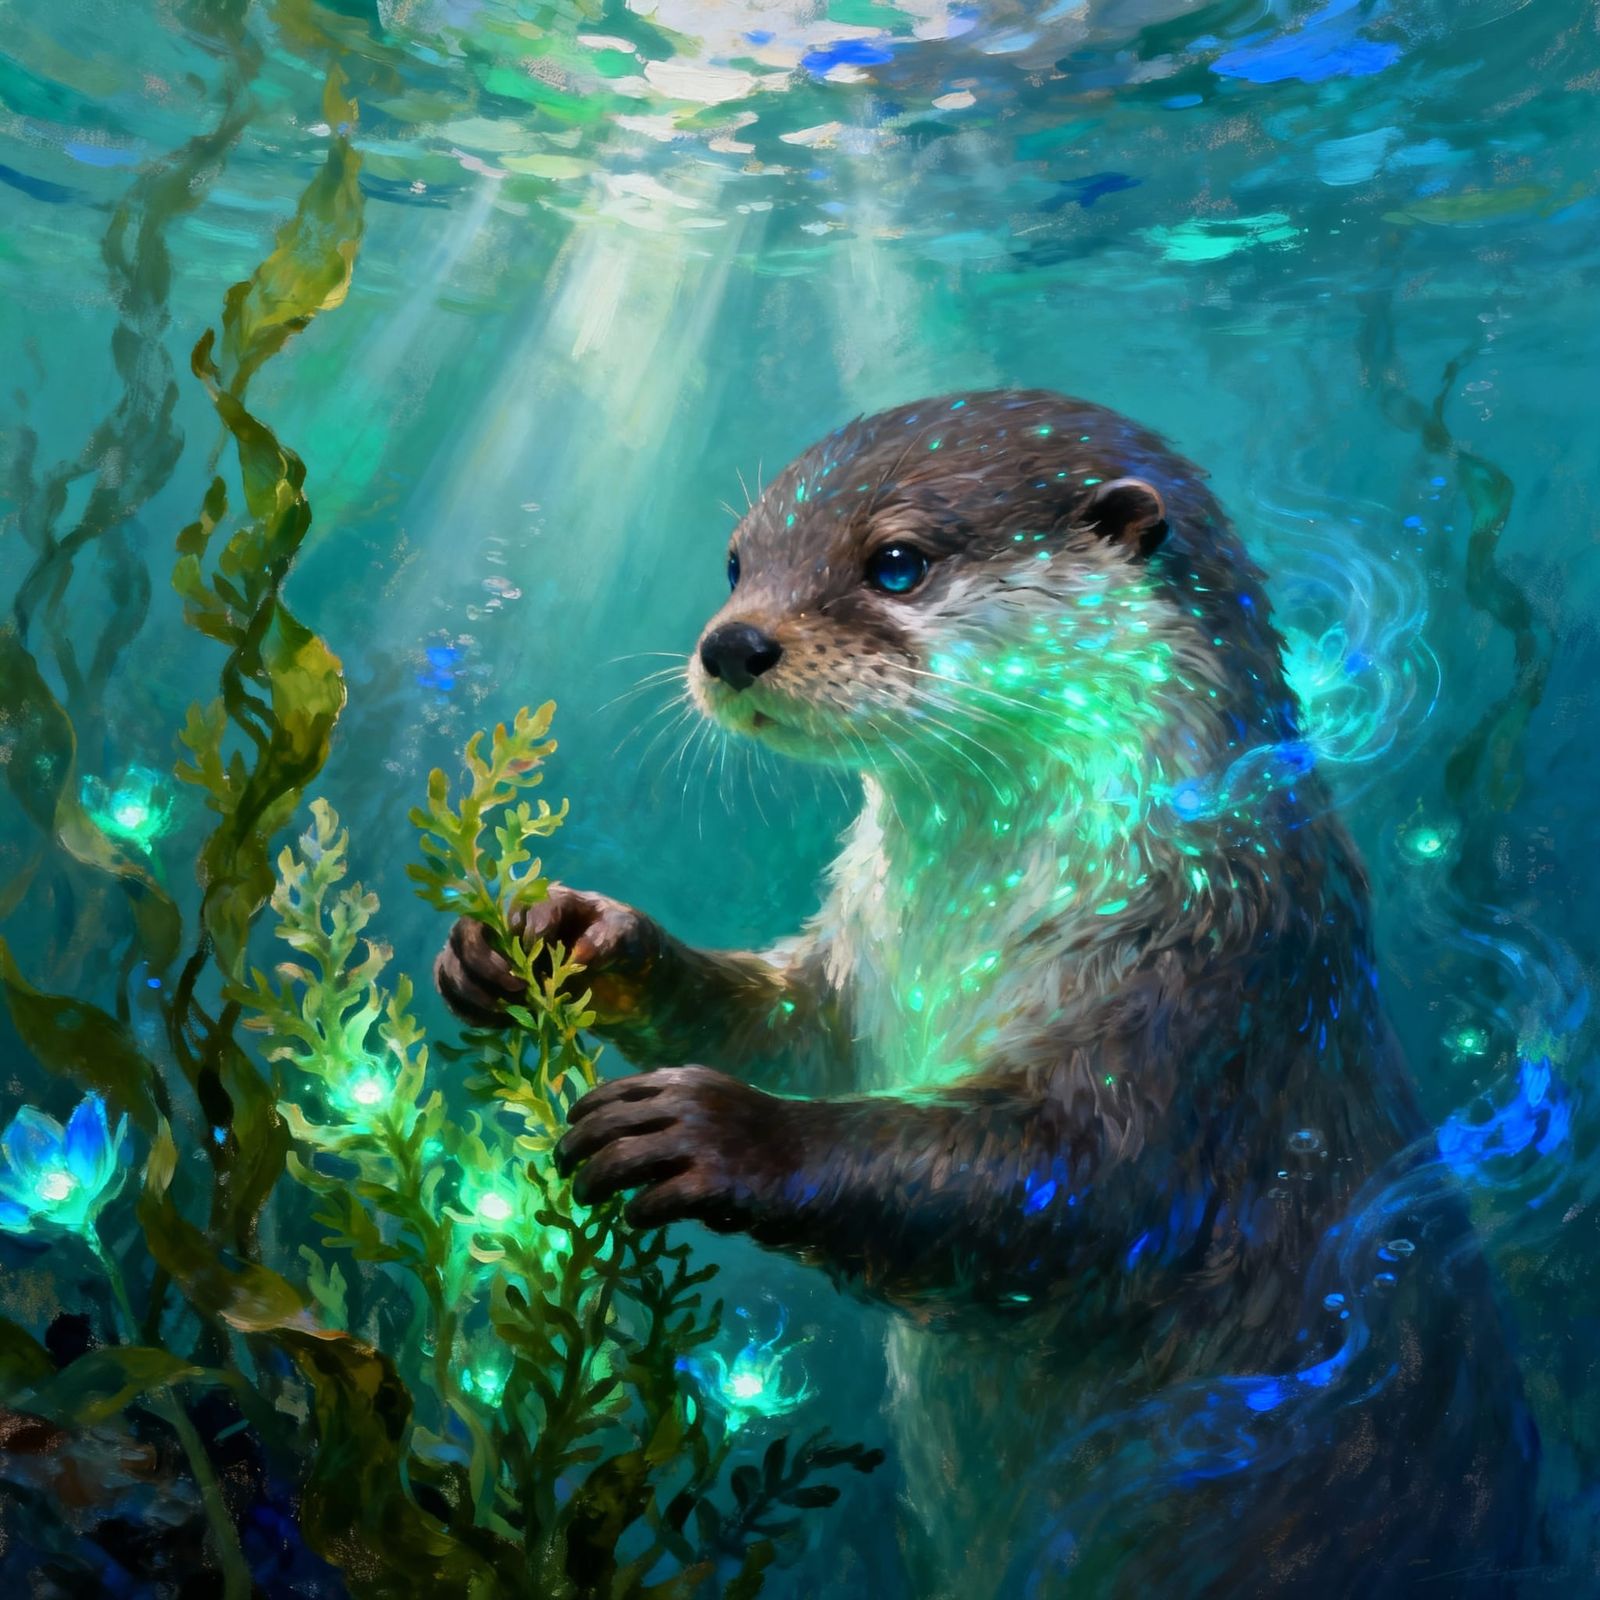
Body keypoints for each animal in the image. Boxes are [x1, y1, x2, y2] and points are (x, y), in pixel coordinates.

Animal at [436, 390, 1535, 1597]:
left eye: (897, 564)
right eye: (734, 561)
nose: (731, 643)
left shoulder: (1214, 978)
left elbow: (1081, 1186)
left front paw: (717, 1131)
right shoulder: (856, 971)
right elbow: (785, 1027)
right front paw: (561, 936)